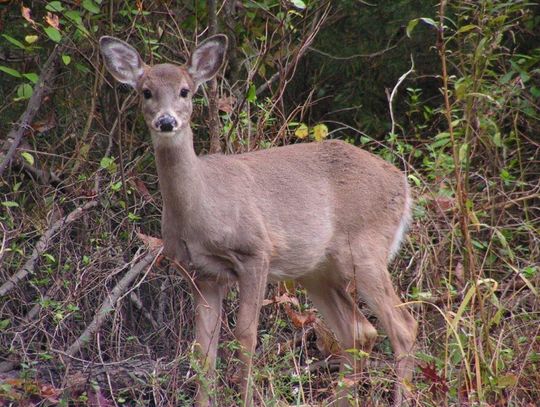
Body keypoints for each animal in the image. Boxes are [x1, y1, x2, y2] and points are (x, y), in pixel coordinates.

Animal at [100, 33, 418, 406]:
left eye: (185, 91)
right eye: (146, 92)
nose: (166, 122)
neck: (201, 210)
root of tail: (402, 183)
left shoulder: (256, 252)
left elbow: (245, 335)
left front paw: (247, 396)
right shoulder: (200, 273)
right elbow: (202, 350)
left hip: (366, 249)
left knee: (403, 327)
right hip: (317, 270)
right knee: (359, 331)